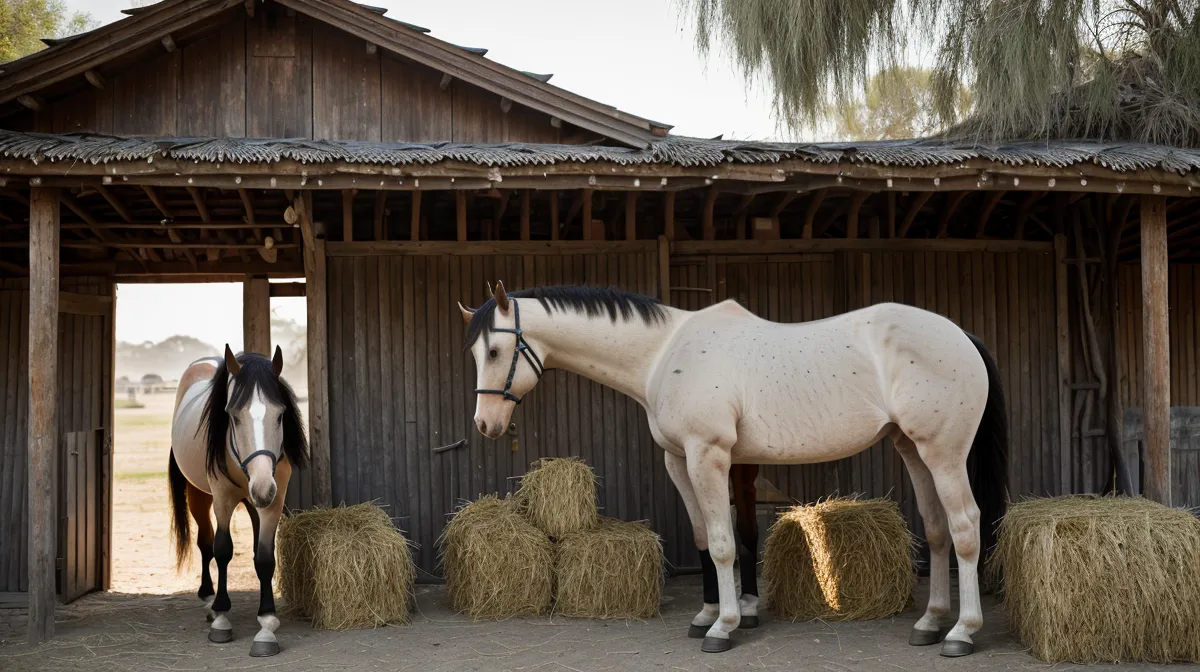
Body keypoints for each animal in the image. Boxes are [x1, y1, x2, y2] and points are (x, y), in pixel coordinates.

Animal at [166, 345, 309, 657]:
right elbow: (222, 550)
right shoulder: (222, 499)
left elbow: (264, 557)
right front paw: (221, 617)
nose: (263, 486)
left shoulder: (273, 501)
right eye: (233, 416)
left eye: (280, 415)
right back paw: (209, 600)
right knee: (205, 543)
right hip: (199, 495)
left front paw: (267, 624)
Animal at [457, 282, 1008, 658]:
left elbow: (724, 542)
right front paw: (705, 615)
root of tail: (960, 334)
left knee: (964, 528)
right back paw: (931, 622)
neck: (663, 353)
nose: (485, 424)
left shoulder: (710, 455)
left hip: (944, 454)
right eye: (476, 352)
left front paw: (724, 626)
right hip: (913, 450)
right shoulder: (679, 459)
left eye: (495, 350)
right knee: (936, 531)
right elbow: (705, 536)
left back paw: (962, 632)